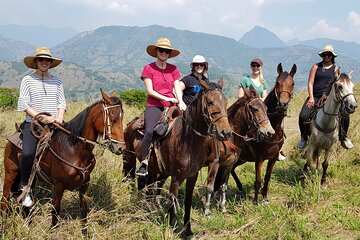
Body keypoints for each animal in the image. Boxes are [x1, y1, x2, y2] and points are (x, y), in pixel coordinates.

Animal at [1, 89, 125, 232]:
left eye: (122, 117)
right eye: (112, 116)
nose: (121, 147)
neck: (74, 149)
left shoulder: (85, 184)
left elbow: (84, 210)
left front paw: (85, 233)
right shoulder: (58, 185)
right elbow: (56, 209)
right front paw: (53, 231)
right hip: (11, 173)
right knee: (5, 197)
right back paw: (4, 225)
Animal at [122, 79, 232, 238]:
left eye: (226, 101)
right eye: (210, 102)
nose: (226, 132)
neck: (187, 140)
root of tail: (132, 123)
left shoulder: (192, 176)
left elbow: (187, 202)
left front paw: (188, 230)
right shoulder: (176, 177)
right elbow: (172, 202)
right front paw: (171, 228)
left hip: (156, 171)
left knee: (148, 187)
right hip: (130, 158)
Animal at [202, 84, 276, 216]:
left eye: (266, 108)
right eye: (255, 109)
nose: (270, 132)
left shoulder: (228, 164)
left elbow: (223, 186)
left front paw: (223, 208)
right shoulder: (214, 164)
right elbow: (210, 186)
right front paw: (207, 211)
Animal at [217, 62, 298, 203]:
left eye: (292, 83)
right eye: (277, 83)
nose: (282, 104)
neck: (273, 132)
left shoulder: (273, 158)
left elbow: (267, 178)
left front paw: (264, 197)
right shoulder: (259, 158)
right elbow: (258, 180)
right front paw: (255, 201)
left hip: (241, 159)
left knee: (232, 168)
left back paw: (239, 186)